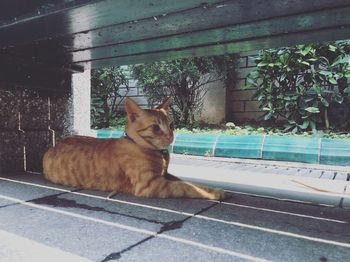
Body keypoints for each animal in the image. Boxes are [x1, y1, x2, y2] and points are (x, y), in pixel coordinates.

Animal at [43, 97, 224, 200]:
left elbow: (189, 183)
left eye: (171, 125)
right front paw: (214, 193)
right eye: (156, 128)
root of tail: (54, 145)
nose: (170, 136)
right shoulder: (150, 185)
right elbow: (184, 187)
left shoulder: (165, 176)